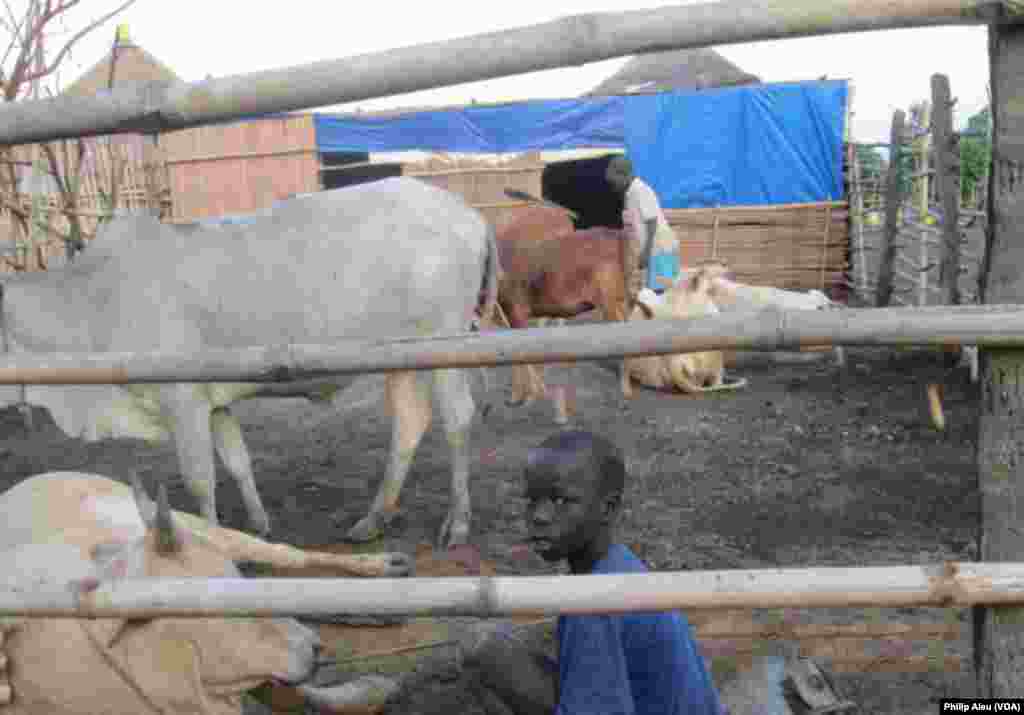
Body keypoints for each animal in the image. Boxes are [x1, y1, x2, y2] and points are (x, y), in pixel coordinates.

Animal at [0, 177, 498, 549]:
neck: (92, 302)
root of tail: (466, 213)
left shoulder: (182, 401)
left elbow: (200, 480)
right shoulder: (213, 402)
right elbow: (238, 462)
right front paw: (258, 525)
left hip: (444, 345)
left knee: (458, 419)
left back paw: (457, 523)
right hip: (401, 359)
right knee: (410, 423)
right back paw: (373, 519)